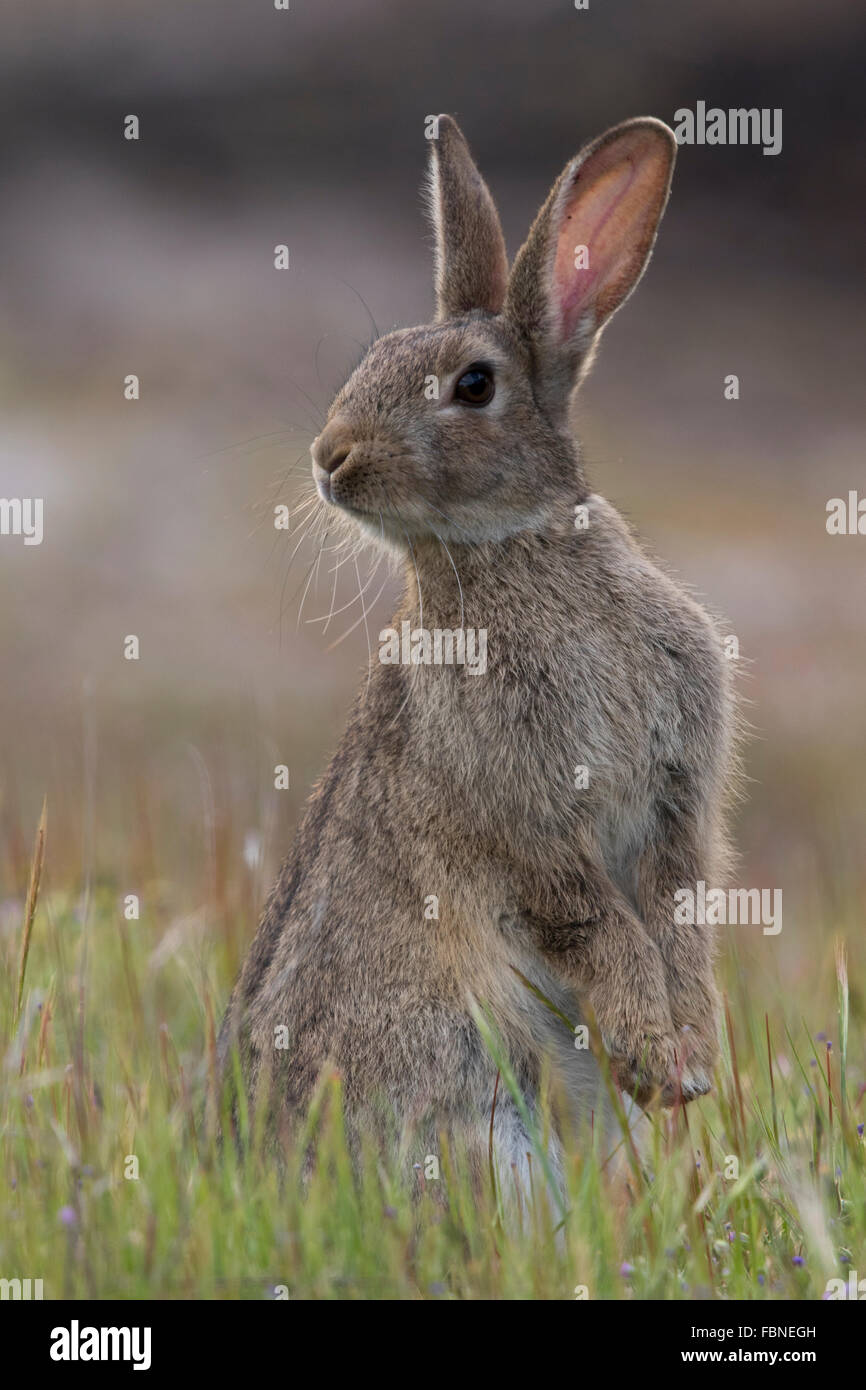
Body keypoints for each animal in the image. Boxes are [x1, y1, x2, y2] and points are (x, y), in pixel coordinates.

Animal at [218, 113, 739, 1189]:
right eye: (373, 357)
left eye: (472, 384)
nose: (330, 459)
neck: (507, 548)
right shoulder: (528, 824)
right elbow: (601, 926)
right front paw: (657, 1060)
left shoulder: (678, 804)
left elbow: (677, 917)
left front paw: (687, 1061)